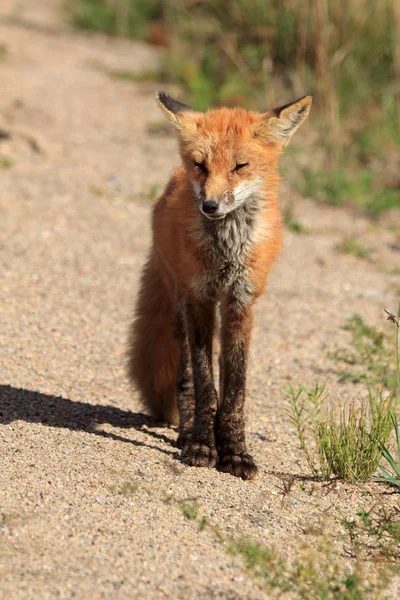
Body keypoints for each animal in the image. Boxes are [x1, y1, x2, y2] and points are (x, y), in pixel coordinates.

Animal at [128, 91, 312, 480]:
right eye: (201, 165)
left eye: (240, 166)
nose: (210, 206)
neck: (227, 250)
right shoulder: (199, 298)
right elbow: (205, 386)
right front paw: (202, 445)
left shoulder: (241, 302)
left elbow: (234, 390)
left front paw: (235, 452)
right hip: (180, 304)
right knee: (184, 378)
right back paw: (187, 432)